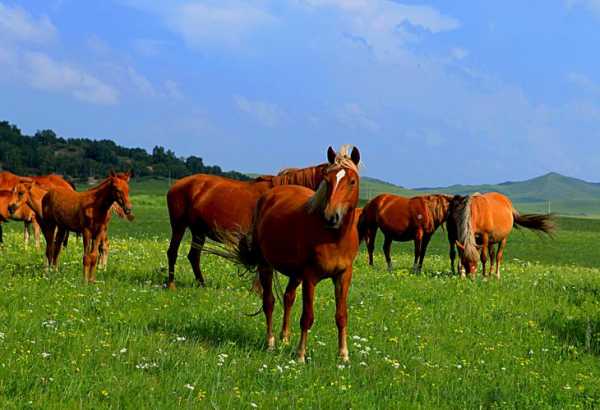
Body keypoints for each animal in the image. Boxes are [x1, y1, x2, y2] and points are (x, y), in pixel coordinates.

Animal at [166, 160, 330, 288]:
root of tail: (177, 184)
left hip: (198, 231)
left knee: (194, 256)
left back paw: (202, 284)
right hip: (179, 225)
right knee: (172, 252)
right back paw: (171, 284)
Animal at [211, 145, 360, 362]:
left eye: (352, 181)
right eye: (327, 180)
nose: (331, 217)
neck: (334, 238)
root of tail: (270, 195)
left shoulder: (343, 276)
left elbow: (341, 316)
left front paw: (344, 356)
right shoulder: (310, 277)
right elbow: (307, 317)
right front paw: (300, 355)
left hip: (295, 274)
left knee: (288, 298)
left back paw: (285, 338)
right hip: (266, 266)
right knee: (269, 302)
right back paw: (271, 342)